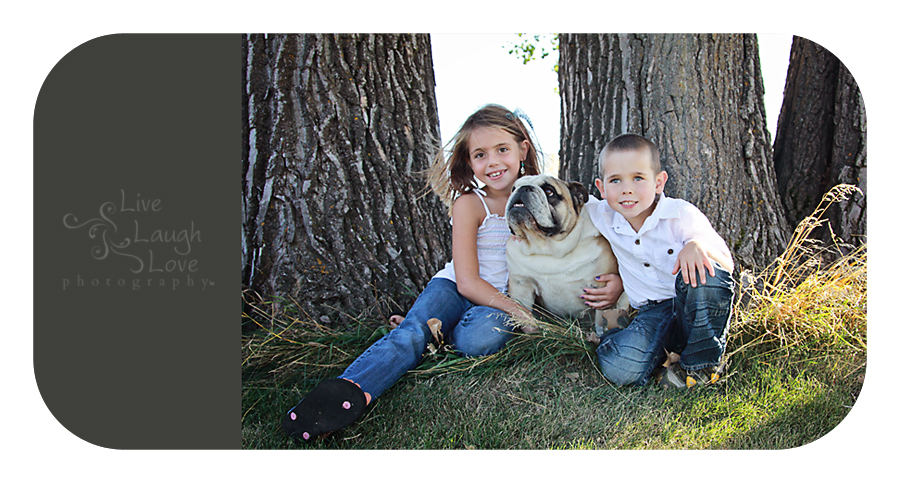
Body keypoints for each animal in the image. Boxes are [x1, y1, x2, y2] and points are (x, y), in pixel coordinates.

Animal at [505, 174, 629, 336]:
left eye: (549, 191)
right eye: (513, 188)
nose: (522, 188)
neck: (548, 248)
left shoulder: (600, 290)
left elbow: (600, 320)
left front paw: (599, 336)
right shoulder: (521, 286)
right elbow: (524, 315)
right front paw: (531, 333)